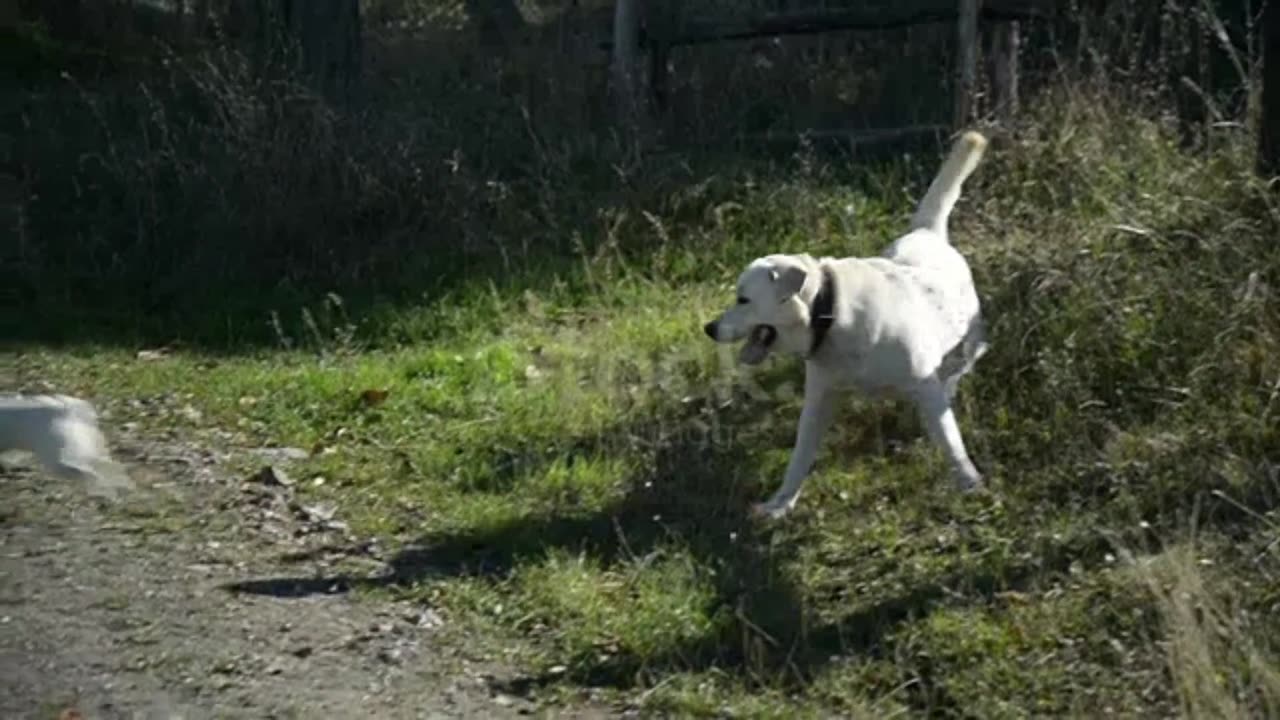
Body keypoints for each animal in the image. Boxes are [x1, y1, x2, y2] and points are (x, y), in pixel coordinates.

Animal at [701, 128, 988, 515]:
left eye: (743, 299)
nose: (709, 329)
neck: (831, 313)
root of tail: (927, 232)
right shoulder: (819, 399)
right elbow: (799, 457)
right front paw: (780, 504)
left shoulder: (924, 386)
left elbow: (949, 439)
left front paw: (969, 482)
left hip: (967, 339)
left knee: (963, 364)